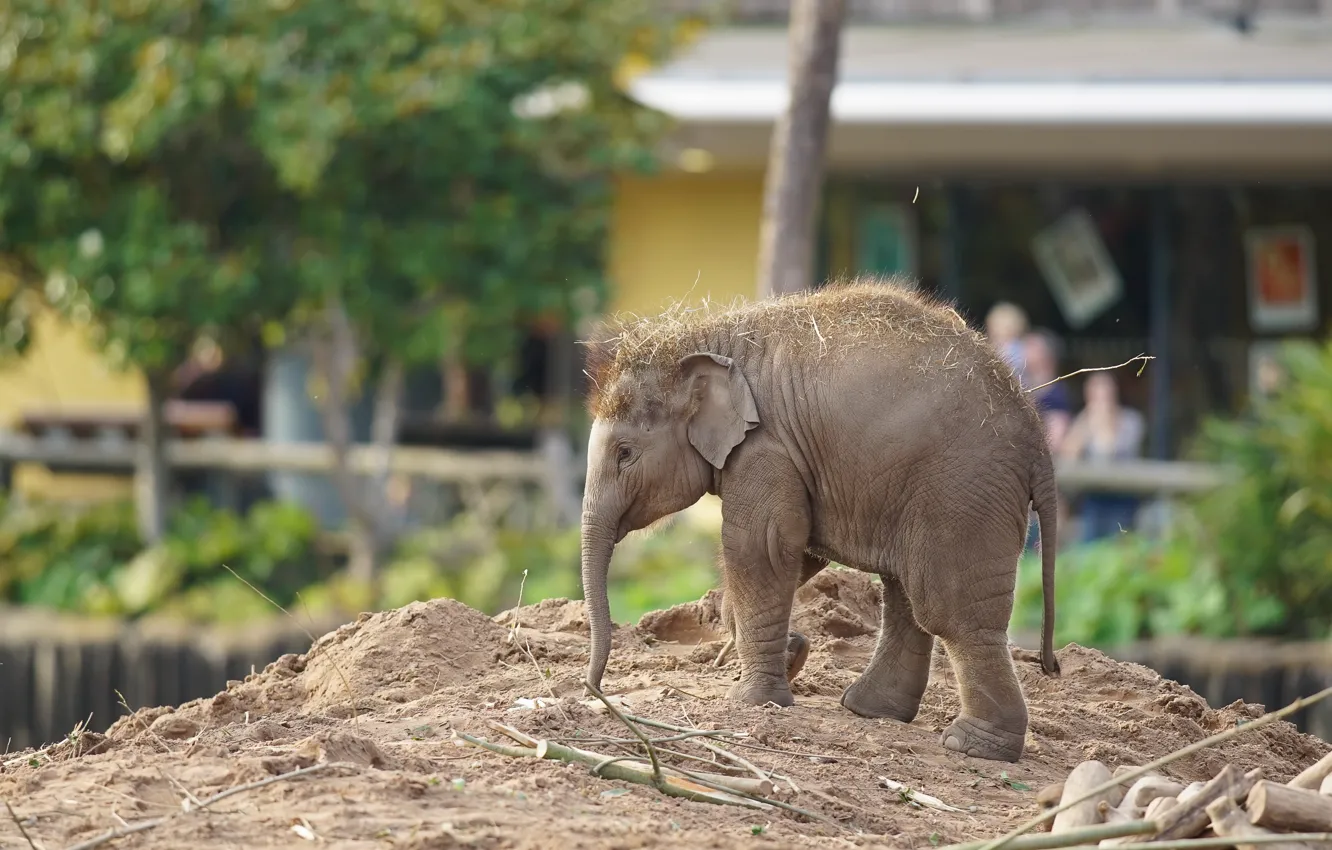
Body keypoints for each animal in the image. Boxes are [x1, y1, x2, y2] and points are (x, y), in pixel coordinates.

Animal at [577, 277, 1060, 763]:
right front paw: (789, 653)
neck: (704, 338)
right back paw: (869, 710)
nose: (596, 690)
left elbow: (763, 546)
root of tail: (1037, 438)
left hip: (961, 494)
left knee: (947, 611)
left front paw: (755, 700)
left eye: (625, 453)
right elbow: (801, 549)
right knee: (904, 593)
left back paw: (974, 746)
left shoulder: (765, 449)